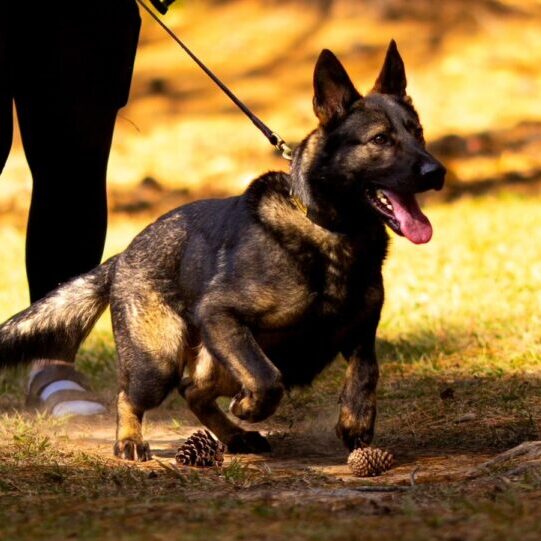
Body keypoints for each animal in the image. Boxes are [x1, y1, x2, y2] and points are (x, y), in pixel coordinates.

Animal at [0, 40, 442, 458]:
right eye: (380, 139)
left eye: (418, 133)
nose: (436, 172)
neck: (327, 230)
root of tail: (122, 255)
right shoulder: (222, 315)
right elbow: (267, 378)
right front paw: (251, 407)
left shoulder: (361, 334)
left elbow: (367, 372)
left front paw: (355, 422)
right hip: (159, 361)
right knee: (133, 396)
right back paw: (131, 441)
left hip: (212, 363)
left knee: (193, 390)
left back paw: (235, 436)